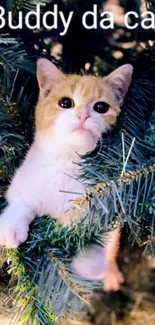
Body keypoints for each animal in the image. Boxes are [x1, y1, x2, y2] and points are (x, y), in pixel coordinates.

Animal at [0, 58, 133, 292]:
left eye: (101, 107)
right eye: (65, 103)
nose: (82, 115)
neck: (68, 165)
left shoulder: (109, 202)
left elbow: (89, 232)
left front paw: (89, 262)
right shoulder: (24, 179)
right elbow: (21, 202)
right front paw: (10, 228)